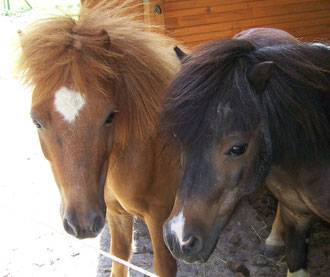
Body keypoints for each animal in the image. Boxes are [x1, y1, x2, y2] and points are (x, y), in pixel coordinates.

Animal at [17, 2, 183, 276]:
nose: (82, 223)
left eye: (109, 116)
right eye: (36, 121)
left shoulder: (159, 217)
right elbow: (119, 257)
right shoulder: (115, 214)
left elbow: (163, 265)